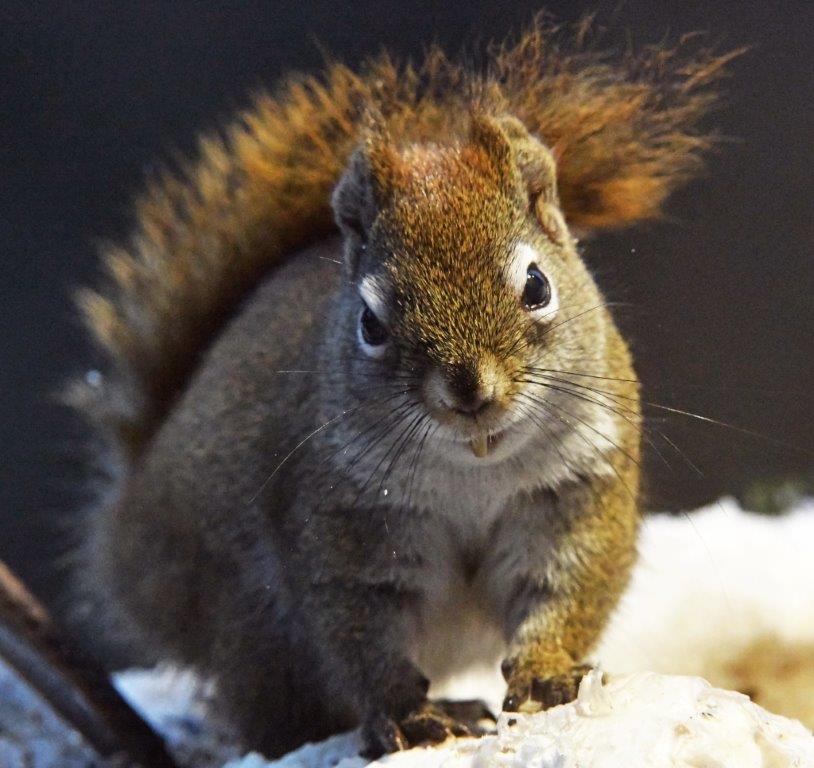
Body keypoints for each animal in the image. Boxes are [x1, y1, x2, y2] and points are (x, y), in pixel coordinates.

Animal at [67, 18, 730, 759]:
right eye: (370, 323)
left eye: (536, 286)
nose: (469, 392)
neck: (475, 471)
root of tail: (127, 532)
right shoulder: (343, 523)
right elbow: (362, 636)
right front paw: (408, 716)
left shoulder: (575, 495)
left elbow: (563, 591)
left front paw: (547, 674)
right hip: (251, 626)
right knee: (275, 717)